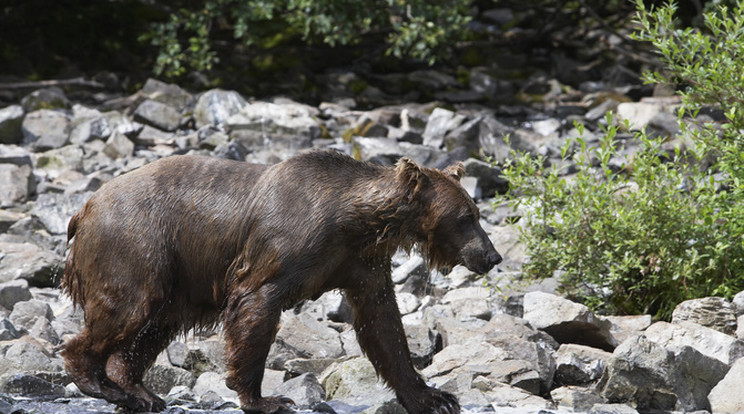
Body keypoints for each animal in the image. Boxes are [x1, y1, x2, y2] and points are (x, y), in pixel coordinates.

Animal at [61, 151, 502, 414]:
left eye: (476, 212)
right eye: (465, 217)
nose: (492, 256)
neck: (354, 219)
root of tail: (85, 206)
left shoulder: (360, 263)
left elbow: (383, 325)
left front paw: (434, 396)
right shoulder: (284, 247)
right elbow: (255, 306)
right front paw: (265, 397)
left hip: (177, 275)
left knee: (154, 326)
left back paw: (142, 392)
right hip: (138, 244)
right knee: (127, 307)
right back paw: (99, 382)